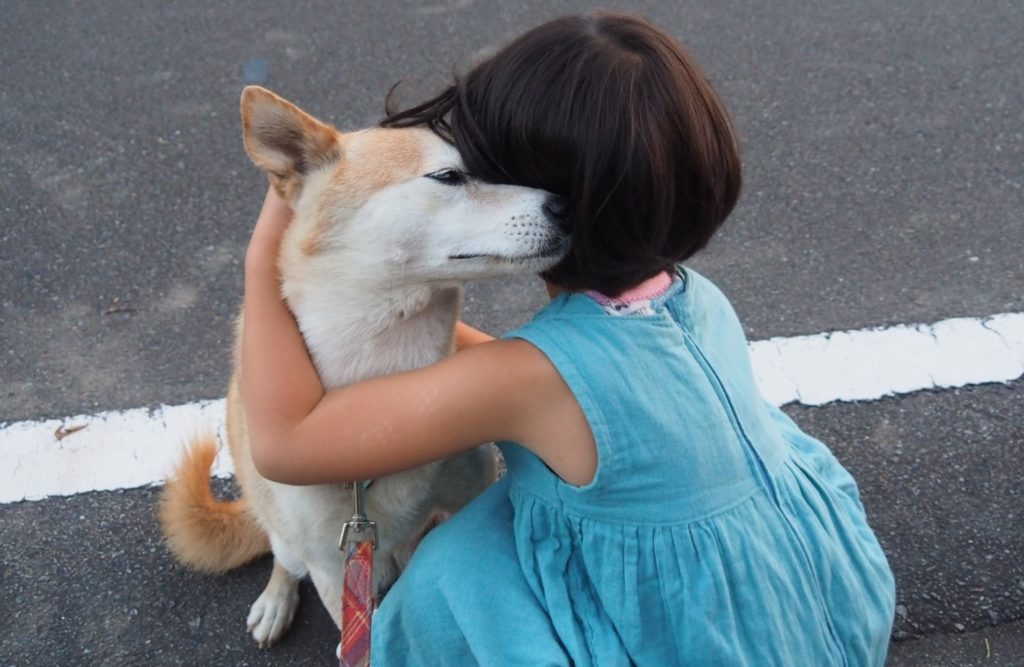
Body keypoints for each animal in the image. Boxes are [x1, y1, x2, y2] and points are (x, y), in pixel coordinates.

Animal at [159, 85, 569, 647]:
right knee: (283, 556)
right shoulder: (332, 564)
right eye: (449, 176)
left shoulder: (469, 494)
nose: (564, 204)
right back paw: (276, 600)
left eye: (495, 164)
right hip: (289, 534)